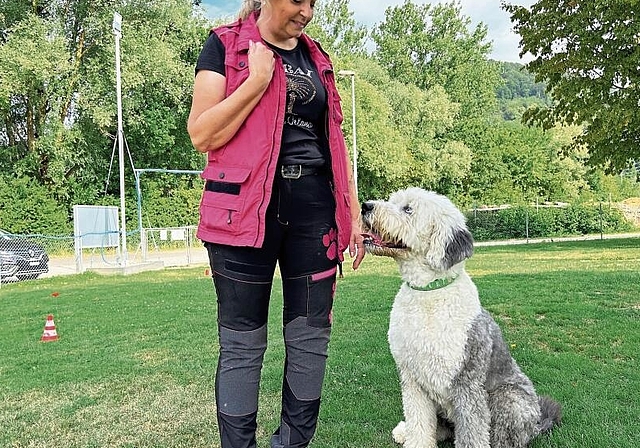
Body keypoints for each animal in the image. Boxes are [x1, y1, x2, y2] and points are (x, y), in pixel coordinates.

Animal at [360, 189, 560, 448]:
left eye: (408, 209)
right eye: (392, 201)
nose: (365, 206)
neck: (428, 293)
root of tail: (537, 423)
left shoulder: (467, 381)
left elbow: (472, 432)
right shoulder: (411, 377)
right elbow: (419, 422)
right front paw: (415, 439)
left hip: (509, 398)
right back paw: (404, 431)